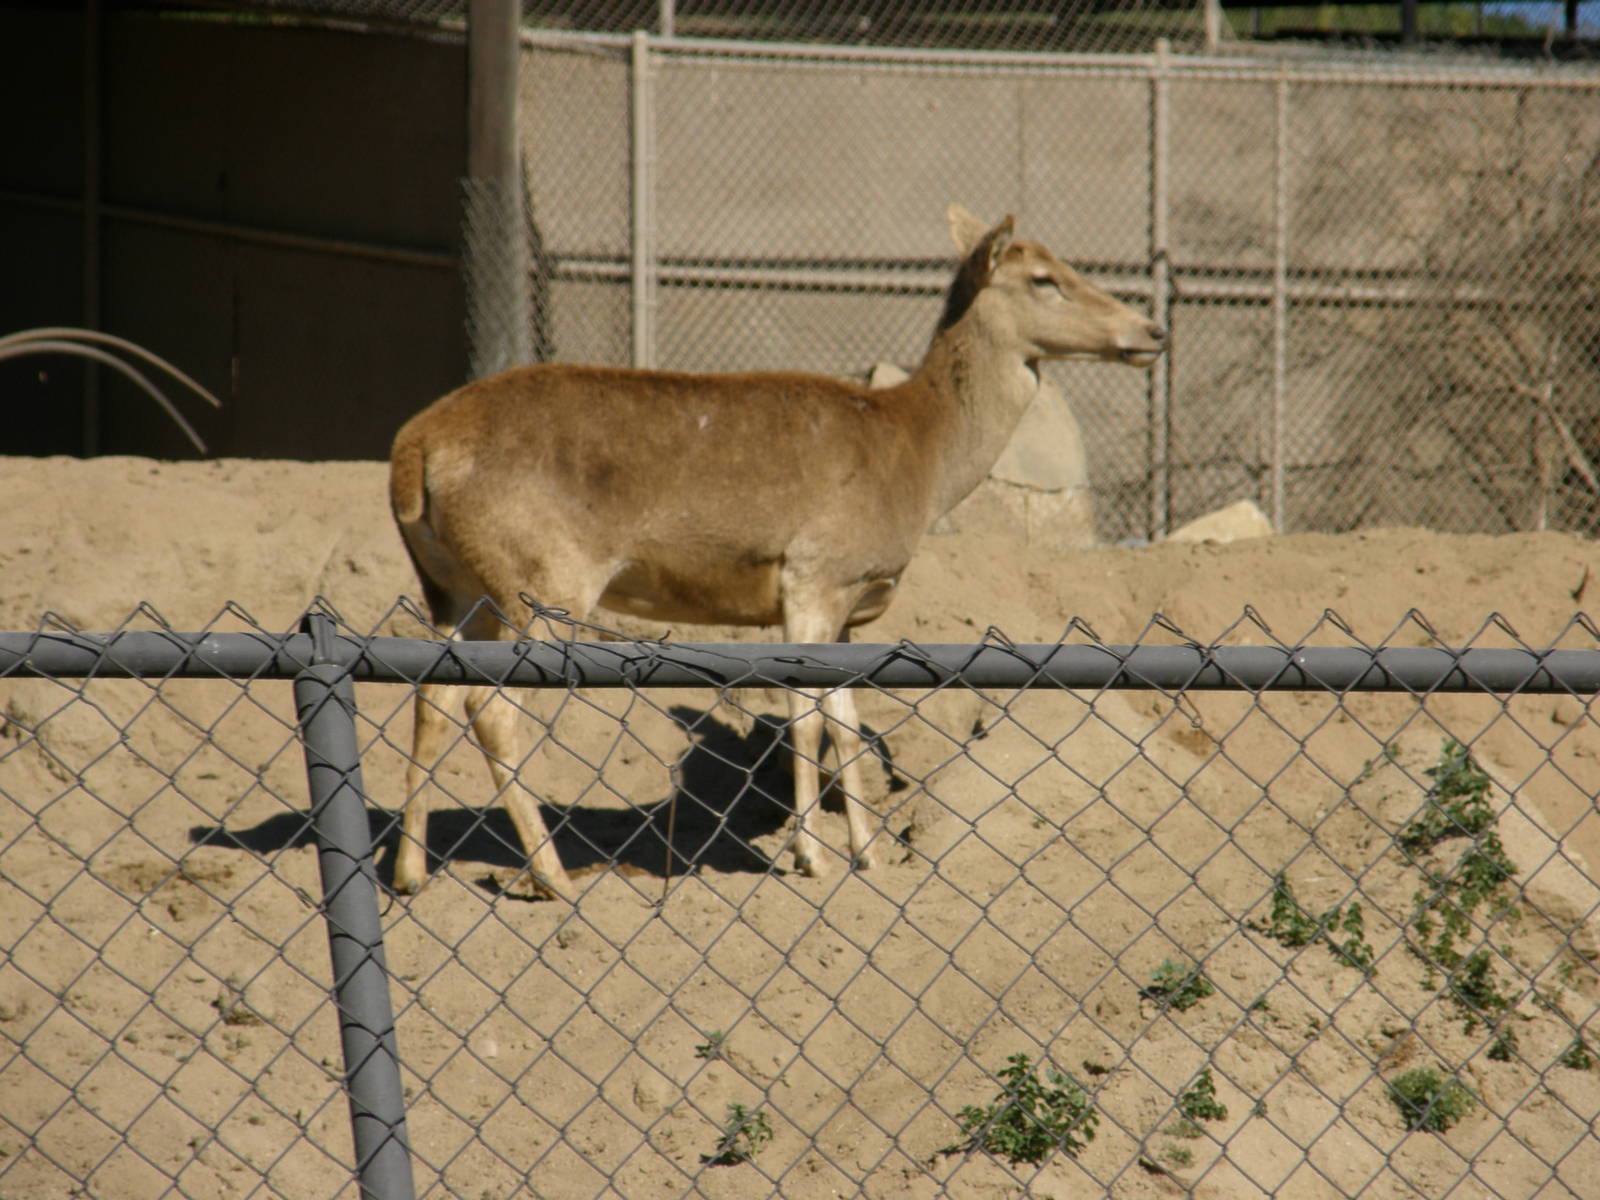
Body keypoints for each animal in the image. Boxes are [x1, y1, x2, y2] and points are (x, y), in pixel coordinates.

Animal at [387, 204, 1166, 900]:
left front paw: (867, 855)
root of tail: (413, 452)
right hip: (540, 578)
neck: (918, 460)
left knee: (433, 695)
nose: (1152, 329)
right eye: (1045, 278)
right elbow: (807, 718)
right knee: (490, 708)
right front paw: (810, 859)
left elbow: (845, 723)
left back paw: (411, 873)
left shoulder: (850, 605)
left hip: (456, 587)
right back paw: (551, 877)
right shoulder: (816, 572)